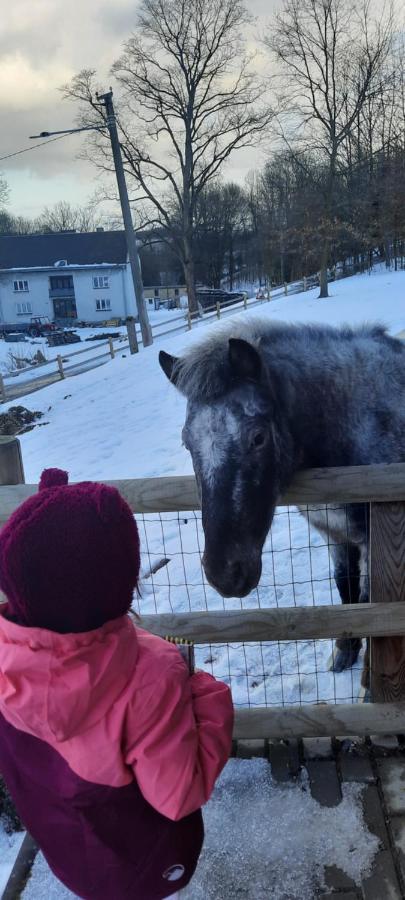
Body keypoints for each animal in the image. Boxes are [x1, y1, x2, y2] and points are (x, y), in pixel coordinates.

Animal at [158, 320, 404, 680]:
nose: (225, 574)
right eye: (187, 443)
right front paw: (345, 651)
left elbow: (368, 600)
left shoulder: (373, 536)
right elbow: (345, 588)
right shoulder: (334, 533)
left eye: (258, 437)